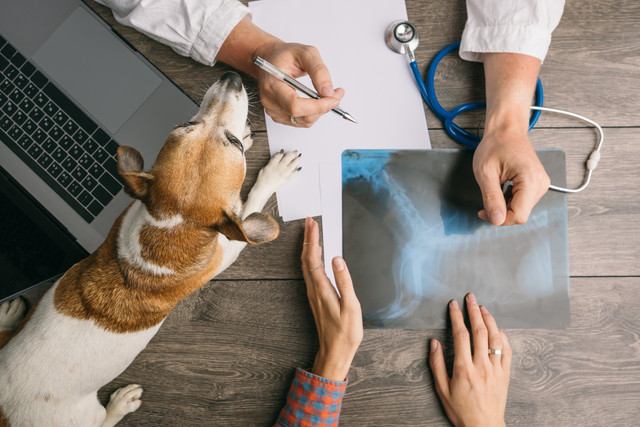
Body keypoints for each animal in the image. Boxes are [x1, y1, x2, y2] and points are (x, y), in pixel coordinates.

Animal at [0, 72, 302, 426]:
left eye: (187, 123)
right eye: (234, 145)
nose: (231, 78)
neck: (171, 225)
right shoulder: (228, 245)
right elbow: (251, 202)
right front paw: (275, 173)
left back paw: (7, 315)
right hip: (85, 415)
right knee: (105, 419)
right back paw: (121, 403)